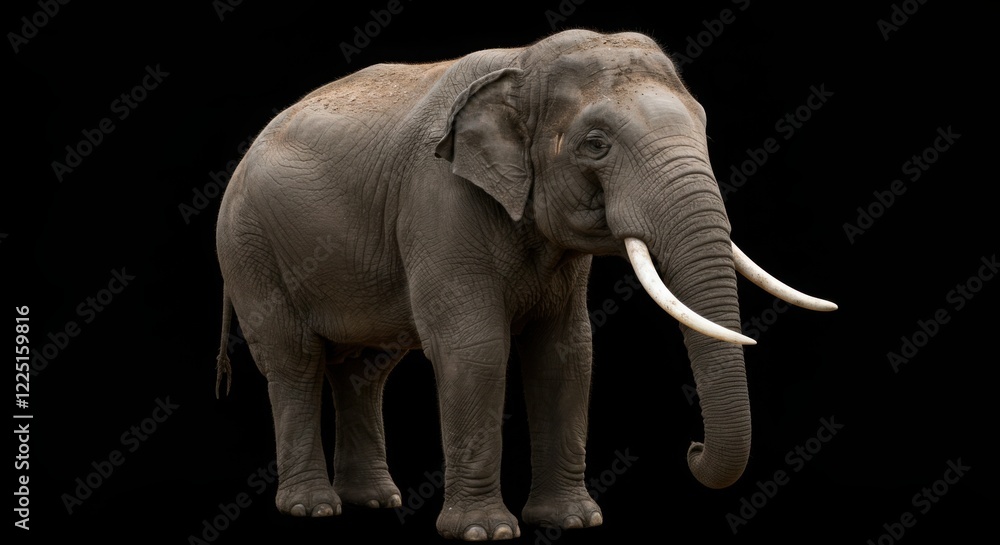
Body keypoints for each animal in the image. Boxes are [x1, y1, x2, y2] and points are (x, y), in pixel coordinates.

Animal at [214, 29, 836, 540]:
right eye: (595, 144)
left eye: (704, 127)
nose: (693, 446)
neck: (523, 64)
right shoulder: (439, 200)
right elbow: (476, 349)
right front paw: (483, 534)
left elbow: (567, 351)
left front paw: (573, 522)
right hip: (249, 249)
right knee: (295, 362)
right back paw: (313, 508)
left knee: (366, 369)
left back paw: (373, 501)